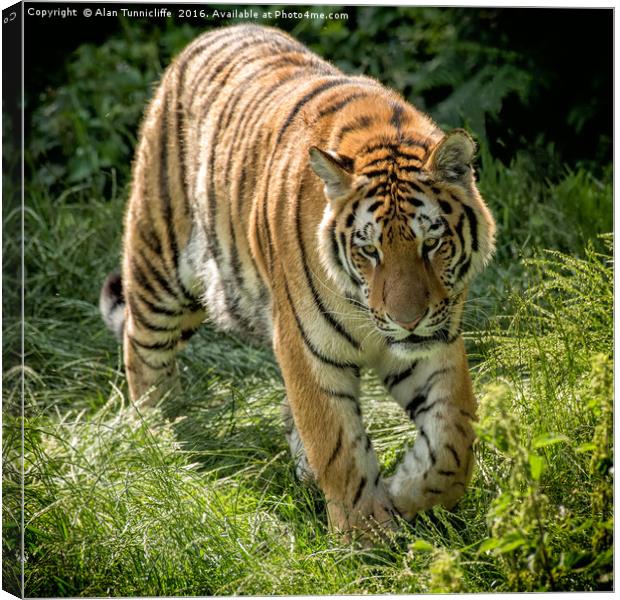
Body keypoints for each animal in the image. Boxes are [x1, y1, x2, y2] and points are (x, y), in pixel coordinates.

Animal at [99, 22, 496, 540]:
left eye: (431, 243)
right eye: (370, 250)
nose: (406, 321)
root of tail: (216, 32)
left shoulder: (436, 343)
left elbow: (453, 437)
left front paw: (407, 493)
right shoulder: (309, 349)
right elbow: (340, 450)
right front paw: (367, 538)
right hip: (160, 264)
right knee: (142, 348)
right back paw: (159, 437)